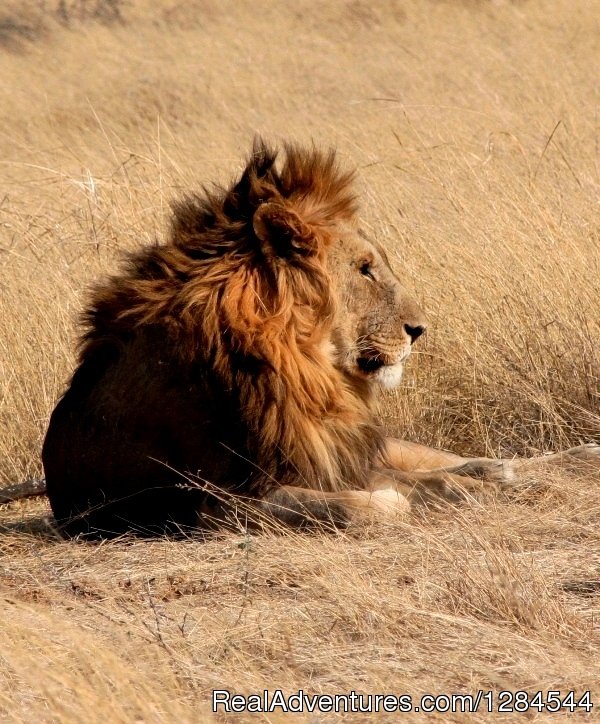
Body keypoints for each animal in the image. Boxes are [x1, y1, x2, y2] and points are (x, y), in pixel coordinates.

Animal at [39, 140, 596, 536]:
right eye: (365, 269)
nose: (419, 330)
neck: (303, 363)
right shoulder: (213, 500)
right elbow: (363, 504)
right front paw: (398, 502)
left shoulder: (335, 453)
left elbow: (431, 478)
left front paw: (471, 488)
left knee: (470, 459)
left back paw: (564, 460)